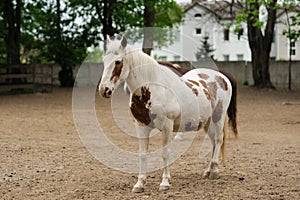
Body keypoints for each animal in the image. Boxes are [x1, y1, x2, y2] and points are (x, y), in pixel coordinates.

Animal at [98, 35, 237, 192]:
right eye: (104, 60)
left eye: (118, 61)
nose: (104, 90)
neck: (152, 88)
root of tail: (222, 78)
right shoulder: (141, 127)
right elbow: (142, 155)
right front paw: (139, 184)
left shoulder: (167, 126)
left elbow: (165, 153)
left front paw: (164, 182)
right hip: (207, 122)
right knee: (213, 142)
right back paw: (208, 171)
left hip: (218, 117)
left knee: (219, 140)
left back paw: (214, 171)